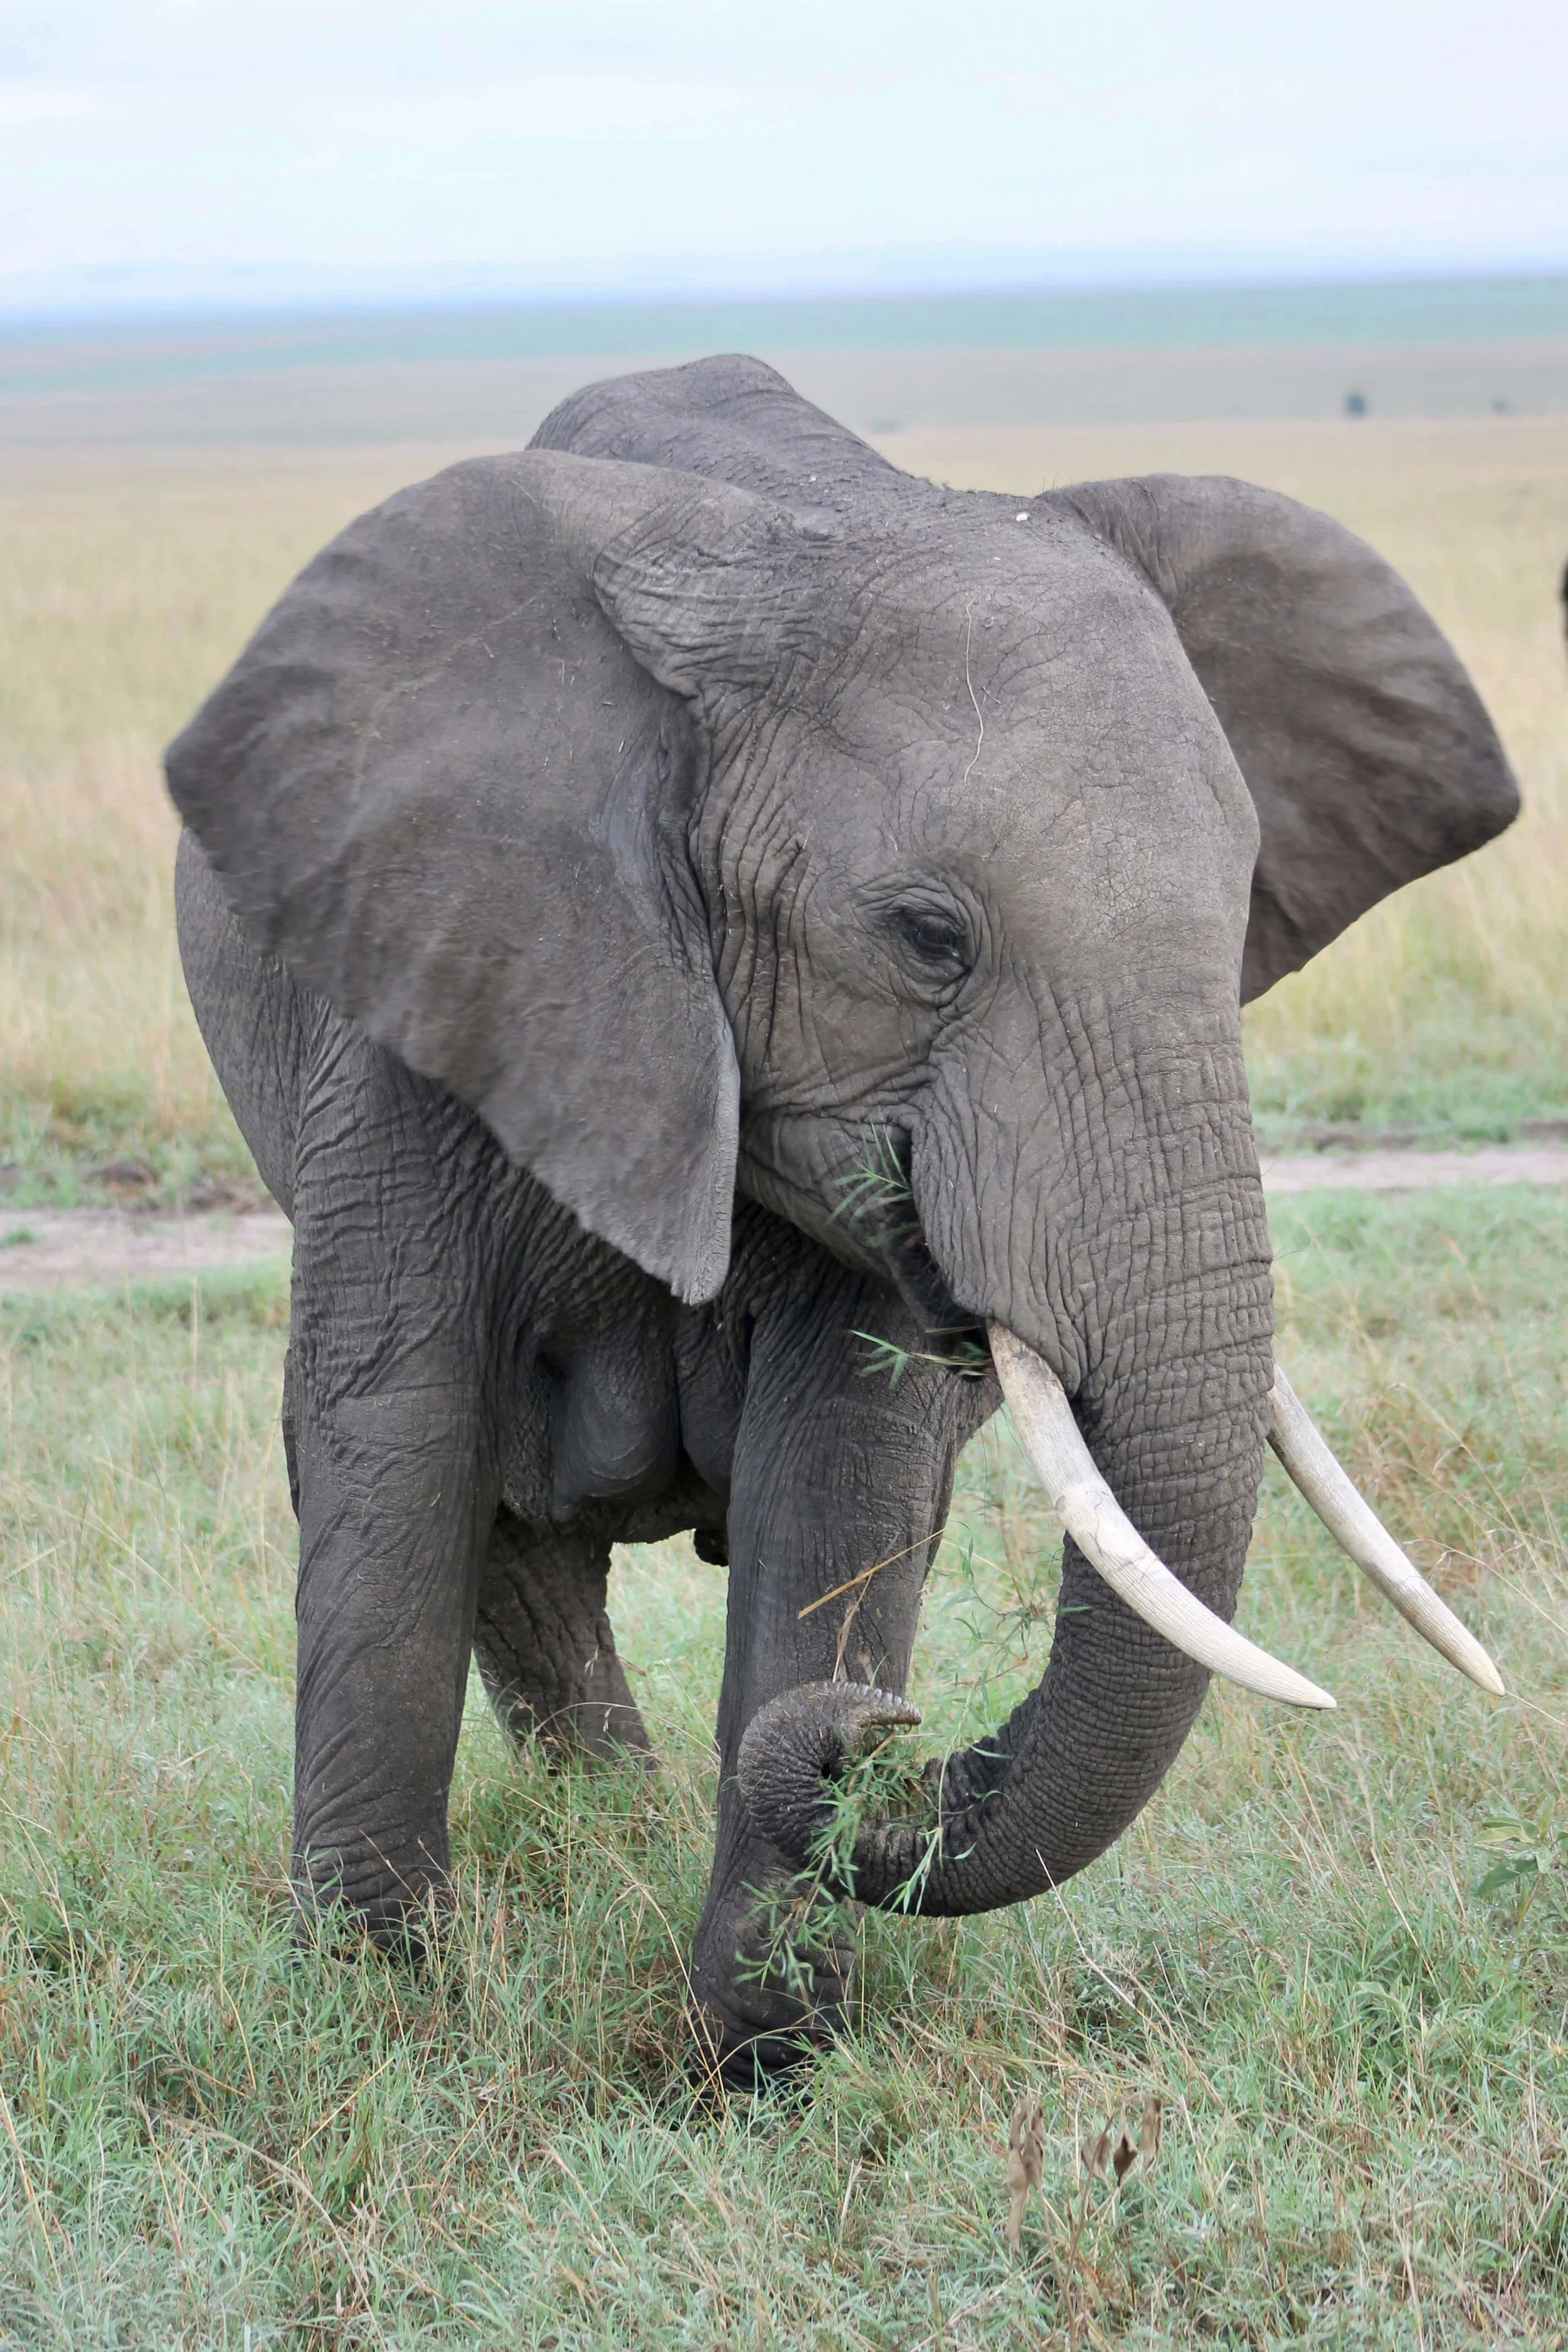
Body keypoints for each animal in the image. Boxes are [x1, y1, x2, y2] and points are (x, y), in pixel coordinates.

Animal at [166, 354, 1516, 2082]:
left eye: (1240, 926)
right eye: (929, 940)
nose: (887, 1735)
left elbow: (841, 1474)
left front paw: (755, 2059)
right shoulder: (433, 969)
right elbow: (391, 1433)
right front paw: (373, 2019)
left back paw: (629, 1825)